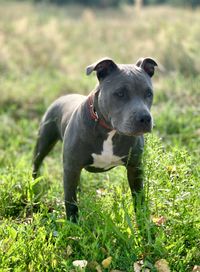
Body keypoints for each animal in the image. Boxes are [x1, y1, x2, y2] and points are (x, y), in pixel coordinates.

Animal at [33, 56, 158, 221]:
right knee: (36, 164)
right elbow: (70, 201)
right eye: (120, 93)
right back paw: (34, 189)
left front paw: (143, 222)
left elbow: (139, 198)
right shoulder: (71, 167)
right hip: (44, 142)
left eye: (149, 93)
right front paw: (73, 224)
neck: (109, 130)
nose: (145, 118)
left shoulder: (135, 168)